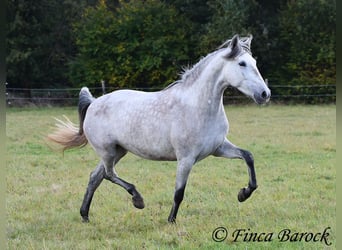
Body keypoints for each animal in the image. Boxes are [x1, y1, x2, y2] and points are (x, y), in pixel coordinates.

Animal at [48, 34, 272, 223]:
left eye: (254, 63)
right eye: (241, 63)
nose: (265, 94)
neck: (198, 106)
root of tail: (94, 102)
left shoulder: (218, 148)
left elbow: (248, 156)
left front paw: (243, 194)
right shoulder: (186, 159)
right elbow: (179, 193)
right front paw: (171, 221)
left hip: (118, 151)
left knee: (96, 177)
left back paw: (85, 215)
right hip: (108, 151)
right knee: (109, 174)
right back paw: (137, 200)